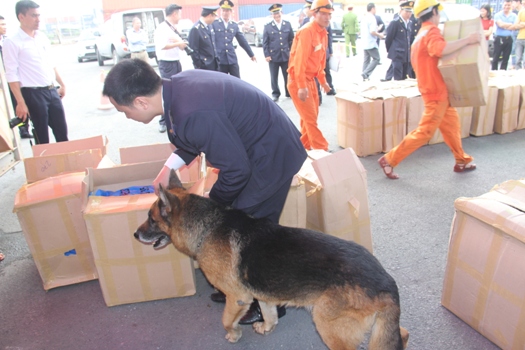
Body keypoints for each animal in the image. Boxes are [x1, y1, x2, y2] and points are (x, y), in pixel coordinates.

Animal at [133, 174, 408, 348]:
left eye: (151, 218)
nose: (135, 235)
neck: (208, 226)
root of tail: (387, 281)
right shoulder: (263, 295)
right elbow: (270, 316)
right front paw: (266, 328)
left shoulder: (238, 297)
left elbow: (226, 320)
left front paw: (234, 334)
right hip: (379, 329)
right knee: (401, 335)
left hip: (328, 326)